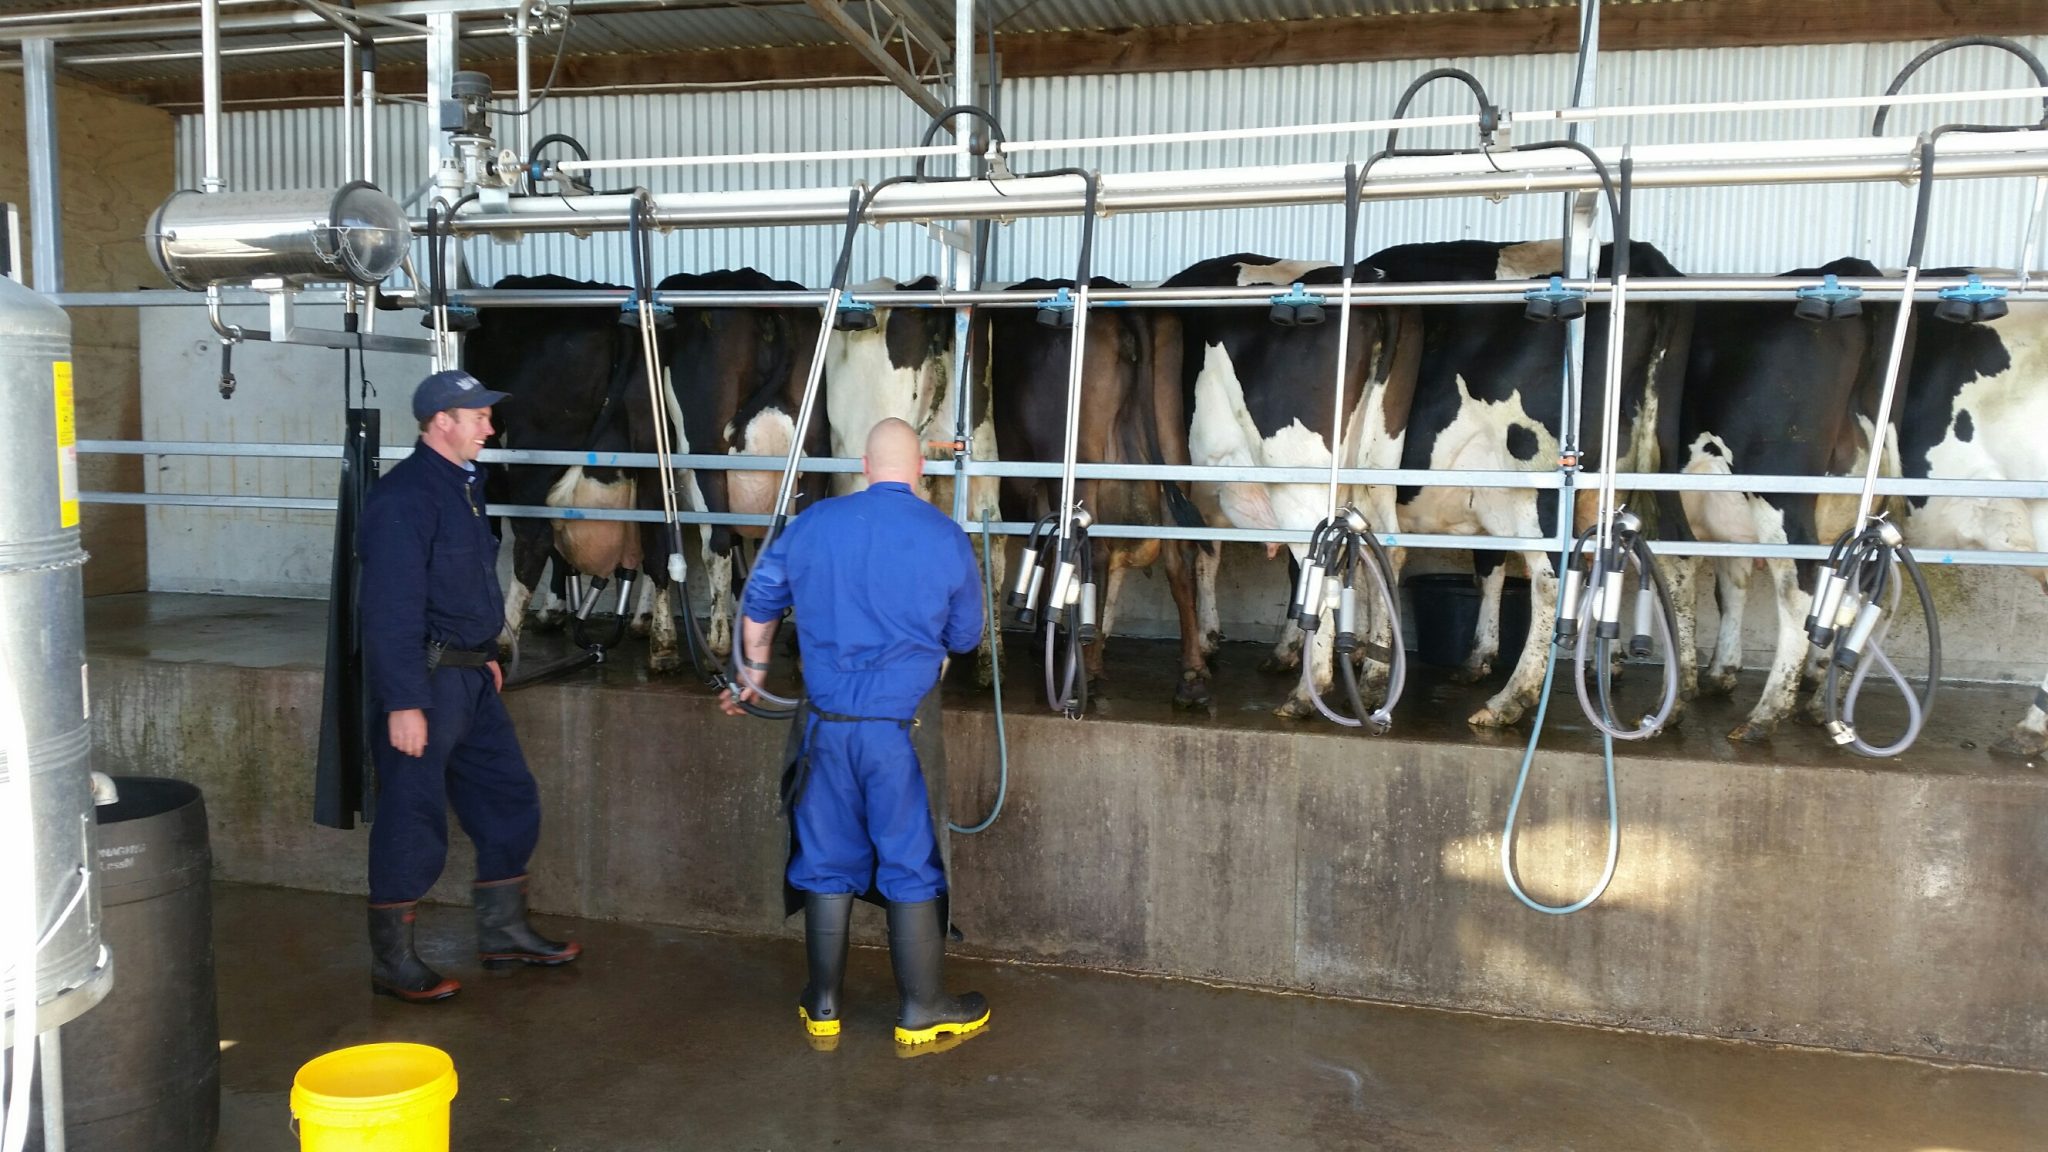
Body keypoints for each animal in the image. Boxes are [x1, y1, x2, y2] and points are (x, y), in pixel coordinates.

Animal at [471, 276, 679, 668]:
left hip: (536, 453)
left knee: (533, 540)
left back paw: (505, 640)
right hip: (652, 452)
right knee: (658, 542)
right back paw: (663, 644)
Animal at [978, 280, 1204, 709]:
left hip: (1077, 462)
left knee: (1091, 552)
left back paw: (1089, 670)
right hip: (1173, 451)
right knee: (1179, 557)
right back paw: (1191, 676)